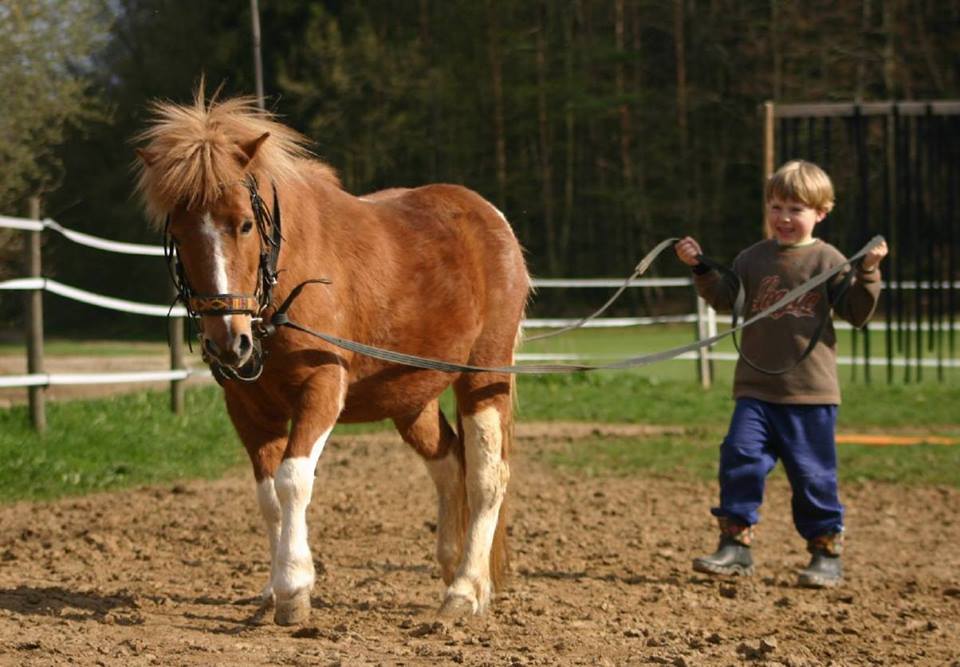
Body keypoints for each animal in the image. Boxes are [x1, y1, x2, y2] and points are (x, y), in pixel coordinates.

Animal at [132, 90, 528, 628]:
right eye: (178, 228)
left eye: (244, 224)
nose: (228, 342)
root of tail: (488, 217)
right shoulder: (246, 407)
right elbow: (268, 498)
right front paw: (271, 591)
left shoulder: (321, 388)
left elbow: (293, 481)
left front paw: (294, 588)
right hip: (412, 398)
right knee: (448, 463)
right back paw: (459, 573)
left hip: (484, 377)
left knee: (487, 477)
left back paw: (463, 591)